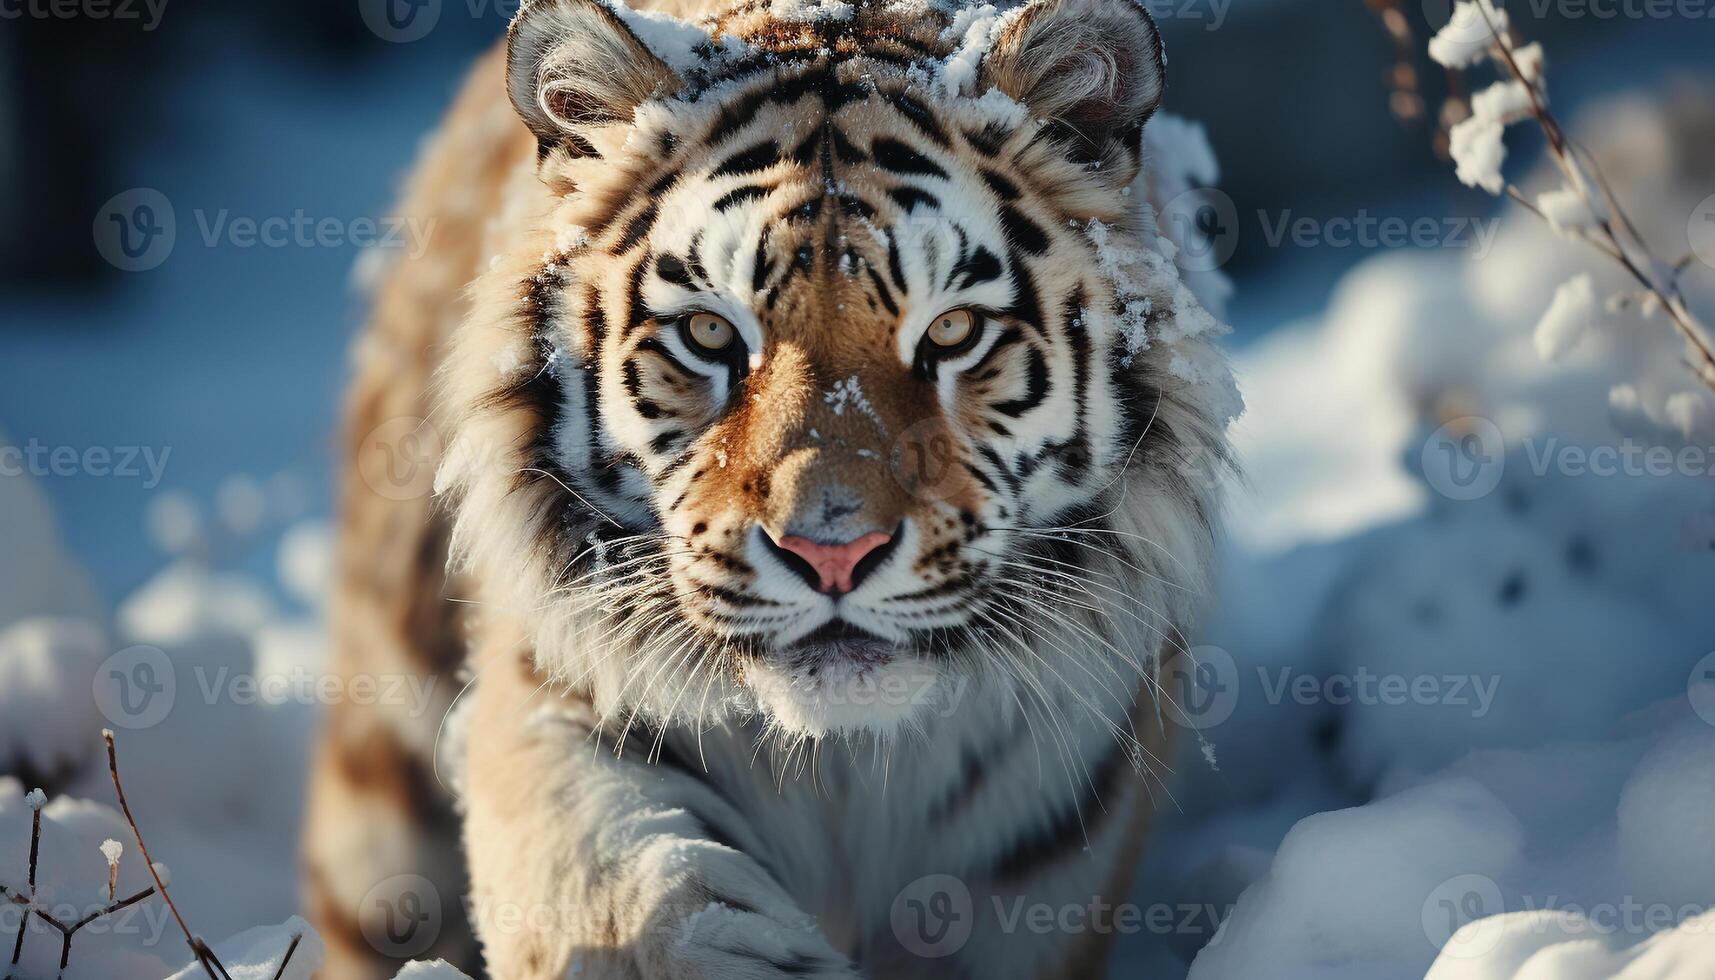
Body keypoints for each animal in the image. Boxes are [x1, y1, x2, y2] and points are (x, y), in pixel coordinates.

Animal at [305, 0, 1234, 974]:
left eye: (953, 331)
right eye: (710, 334)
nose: (832, 553)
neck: (844, 763)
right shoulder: (556, 698)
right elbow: (623, 898)